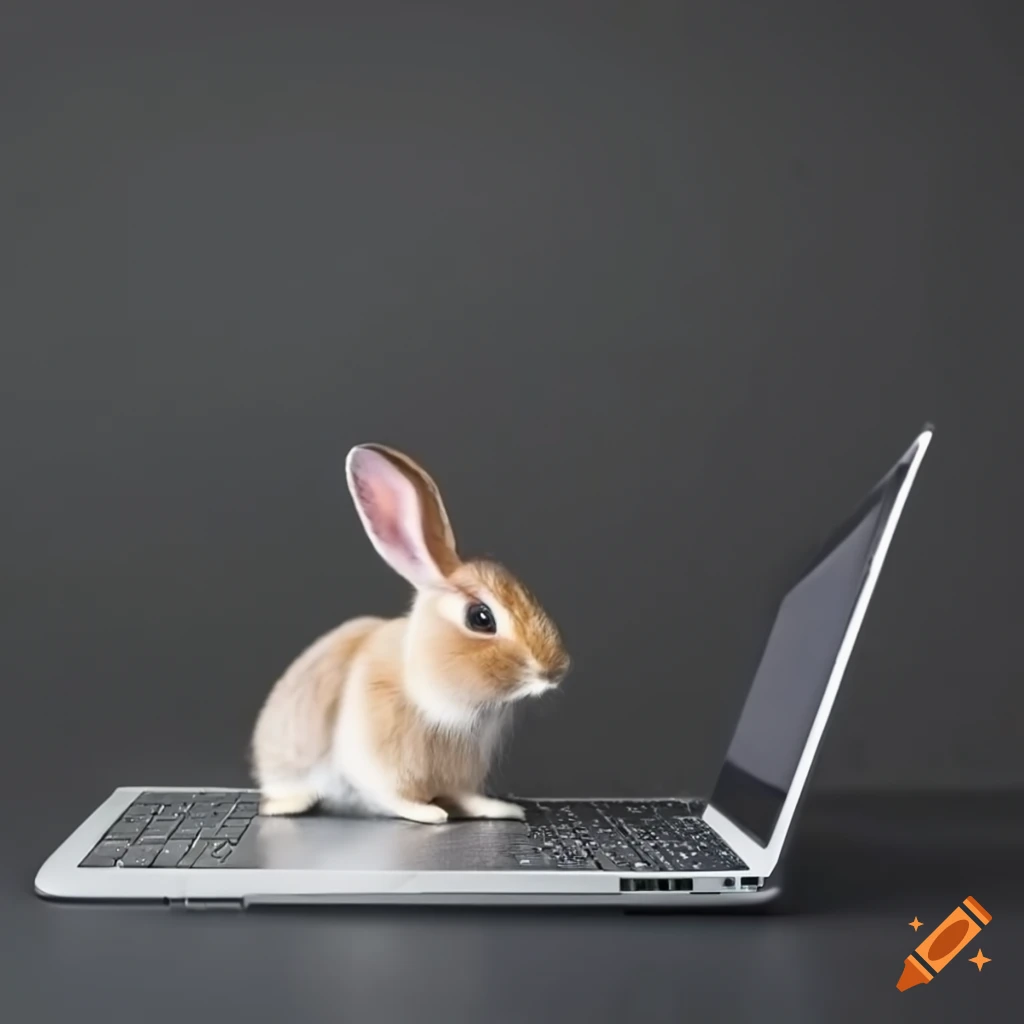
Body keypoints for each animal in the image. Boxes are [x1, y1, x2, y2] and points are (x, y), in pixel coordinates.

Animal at [250, 443, 571, 824]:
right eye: (480, 618)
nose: (555, 670)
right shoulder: (371, 762)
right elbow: (395, 799)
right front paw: (432, 814)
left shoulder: (460, 776)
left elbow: (467, 797)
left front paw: (502, 810)